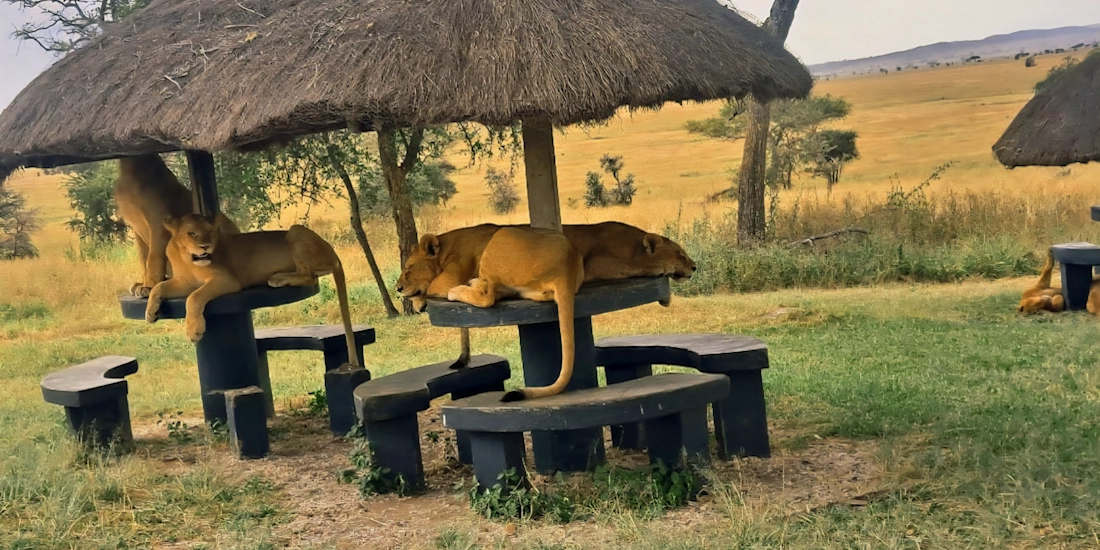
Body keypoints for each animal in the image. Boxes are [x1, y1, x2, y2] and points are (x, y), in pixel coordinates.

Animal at [115, 154, 240, 297]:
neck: (130, 169)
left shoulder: (159, 224)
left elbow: (153, 258)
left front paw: (149, 286)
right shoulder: (136, 230)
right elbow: (143, 258)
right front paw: (142, 283)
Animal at [145, 214, 361, 370]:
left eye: (210, 233)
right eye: (192, 233)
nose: (206, 246)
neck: (187, 259)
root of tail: (334, 255)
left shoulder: (226, 280)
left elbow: (194, 297)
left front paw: (193, 330)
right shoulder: (184, 282)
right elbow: (158, 287)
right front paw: (150, 312)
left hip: (295, 231)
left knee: (309, 276)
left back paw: (278, 278)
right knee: (311, 276)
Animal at [395, 221, 697, 370]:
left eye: (407, 268)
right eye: (682, 254)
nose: (397, 289)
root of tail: (564, 267)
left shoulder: (448, 276)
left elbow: (431, 287)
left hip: (502, 237)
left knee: (487, 295)